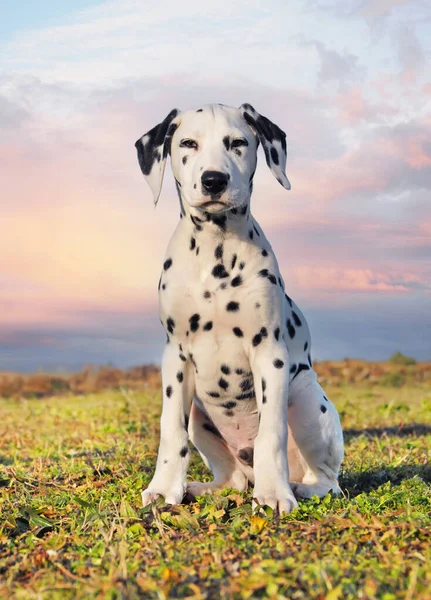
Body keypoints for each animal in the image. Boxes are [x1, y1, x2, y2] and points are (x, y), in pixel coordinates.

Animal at [135, 104, 344, 516]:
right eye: (188, 143)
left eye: (237, 143)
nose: (214, 180)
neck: (215, 251)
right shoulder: (175, 355)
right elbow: (170, 432)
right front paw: (164, 489)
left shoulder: (269, 353)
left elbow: (271, 434)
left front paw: (275, 494)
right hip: (200, 417)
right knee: (232, 479)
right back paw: (202, 488)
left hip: (308, 399)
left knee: (328, 480)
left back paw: (301, 487)